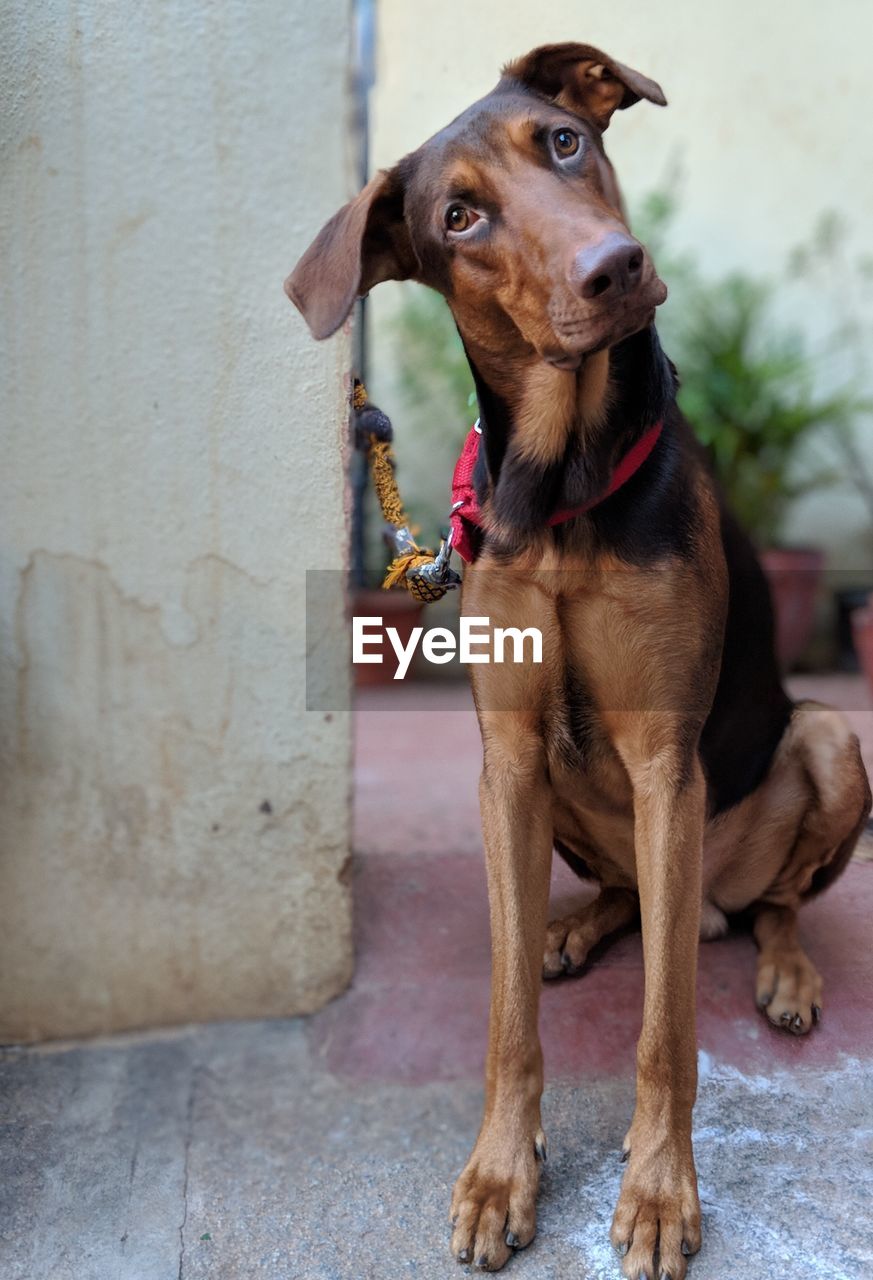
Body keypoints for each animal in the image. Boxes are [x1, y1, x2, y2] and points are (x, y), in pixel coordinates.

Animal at [284, 42, 865, 1280]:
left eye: (563, 141)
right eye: (458, 217)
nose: (618, 269)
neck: (564, 484)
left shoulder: (664, 762)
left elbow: (667, 1031)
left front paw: (656, 1191)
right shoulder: (504, 759)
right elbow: (507, 1016)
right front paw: (503, 1171)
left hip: (826, 741)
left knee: (766, 904)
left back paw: (786, 969)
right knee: (633, 899)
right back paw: (577, 929)